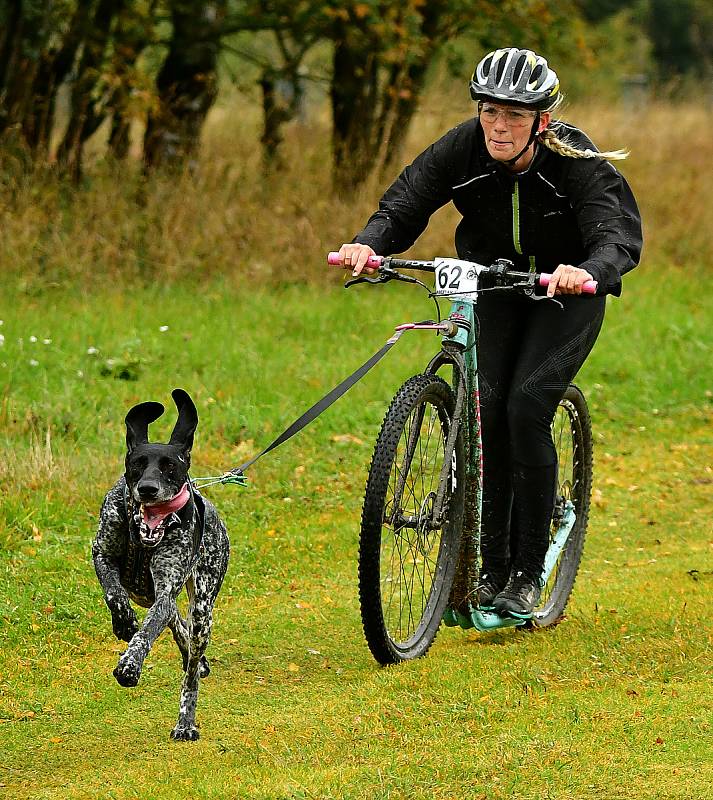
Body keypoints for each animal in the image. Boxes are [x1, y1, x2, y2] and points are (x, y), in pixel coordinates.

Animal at [93, 390, 228, 740]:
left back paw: (185, 722)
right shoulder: (101, 555)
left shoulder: (166, 589)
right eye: (137, 465)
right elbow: (115, 594)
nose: (148, 489)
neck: (143, 541)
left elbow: (146, 633)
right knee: (176, 624)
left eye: (170, 467)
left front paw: (130, 664)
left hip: (203, 612)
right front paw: (124, 622)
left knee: (190, 669)